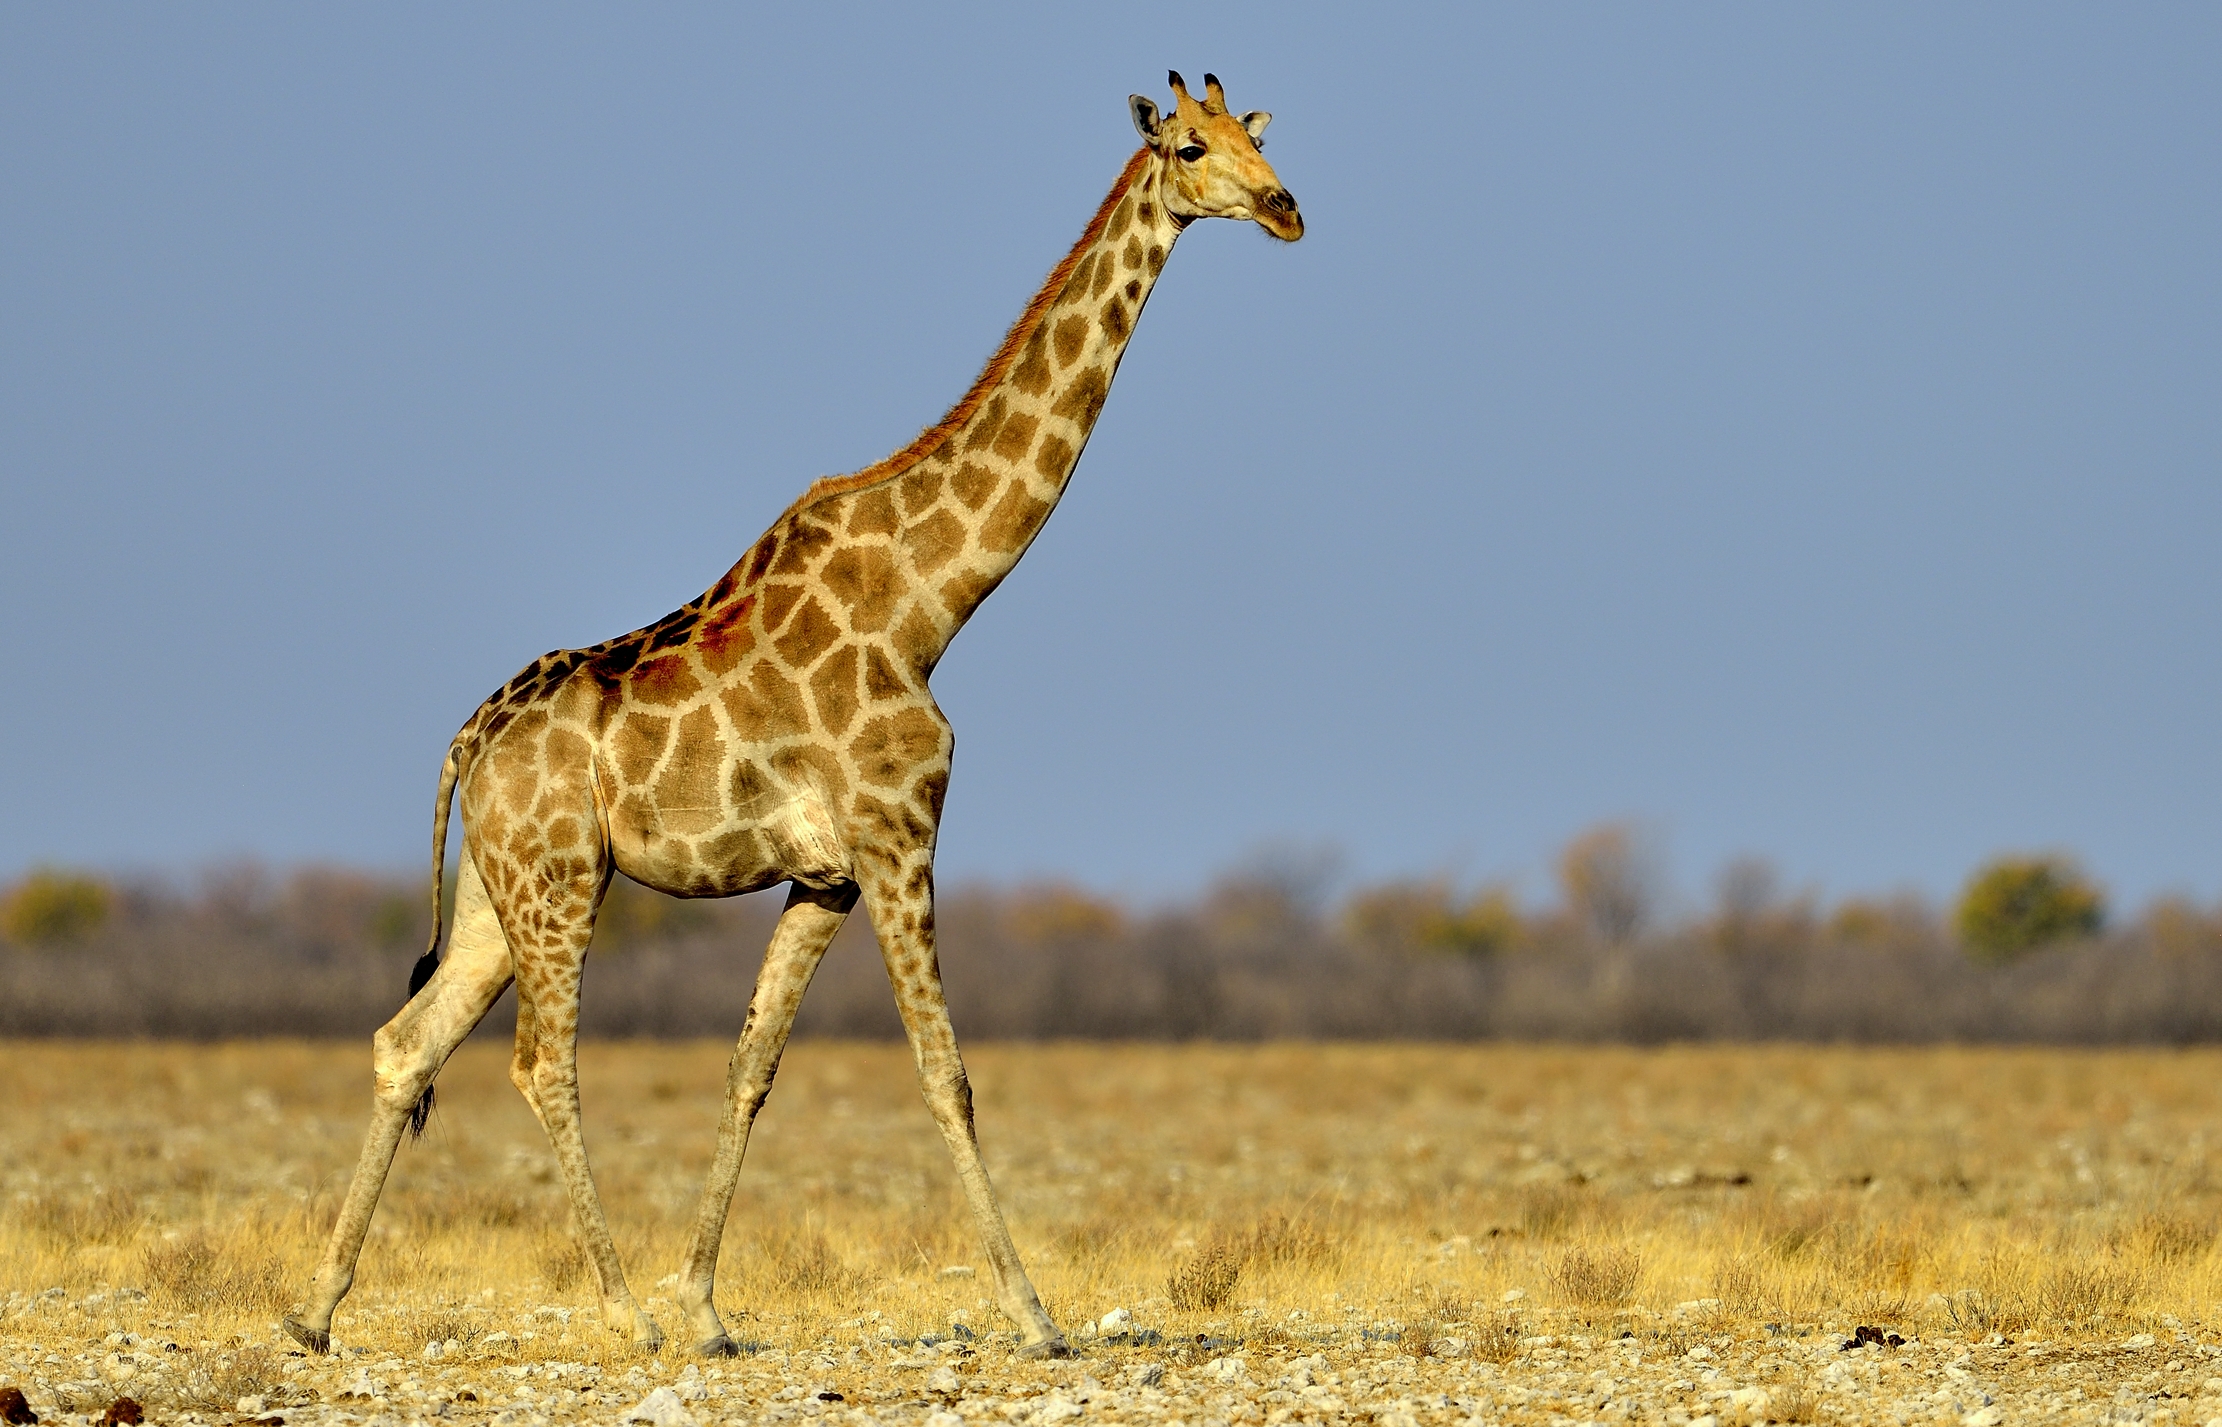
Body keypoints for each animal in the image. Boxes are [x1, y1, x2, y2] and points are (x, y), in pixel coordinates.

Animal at [282, 71, 1301, 1362]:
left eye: (1254, 138)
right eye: (1187, 149)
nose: (1284, 209)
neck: (930, 601)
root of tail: (469, 737)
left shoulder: (825, 875)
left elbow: (750, 1063)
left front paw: (707, 1305)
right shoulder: (896, 833)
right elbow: (943, 1070)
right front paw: (1034, 1315)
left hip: (496, 884)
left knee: (406, 1041)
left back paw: (317, 1309)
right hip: (561, 881)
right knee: (539, 1060)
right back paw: (617, 1310)